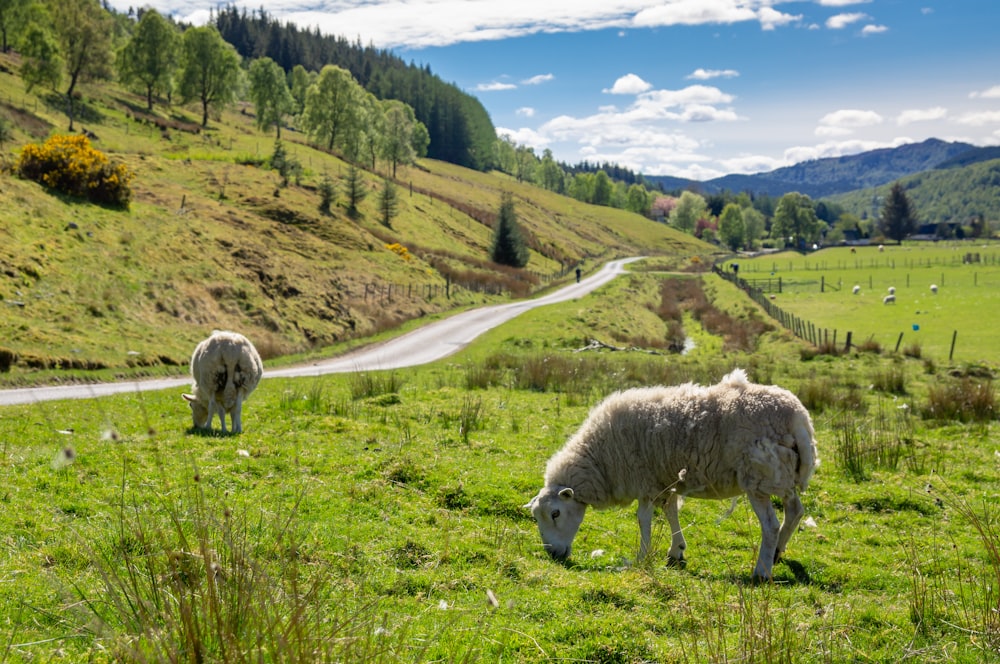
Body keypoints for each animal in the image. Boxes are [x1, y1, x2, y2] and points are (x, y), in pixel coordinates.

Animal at [528, 368, 816, 580]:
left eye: (555, 513)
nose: (553, 554)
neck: (599, 458)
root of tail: (798, 416)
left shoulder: (644, 480)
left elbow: (643, 519)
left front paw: (642, 556)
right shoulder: (667, 480)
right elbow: (670, 512)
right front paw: (676, 549)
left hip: (759, 475)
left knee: (770, 525)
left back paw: (762, 571)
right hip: (784, 472)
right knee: (795, 511)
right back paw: (777, 552)